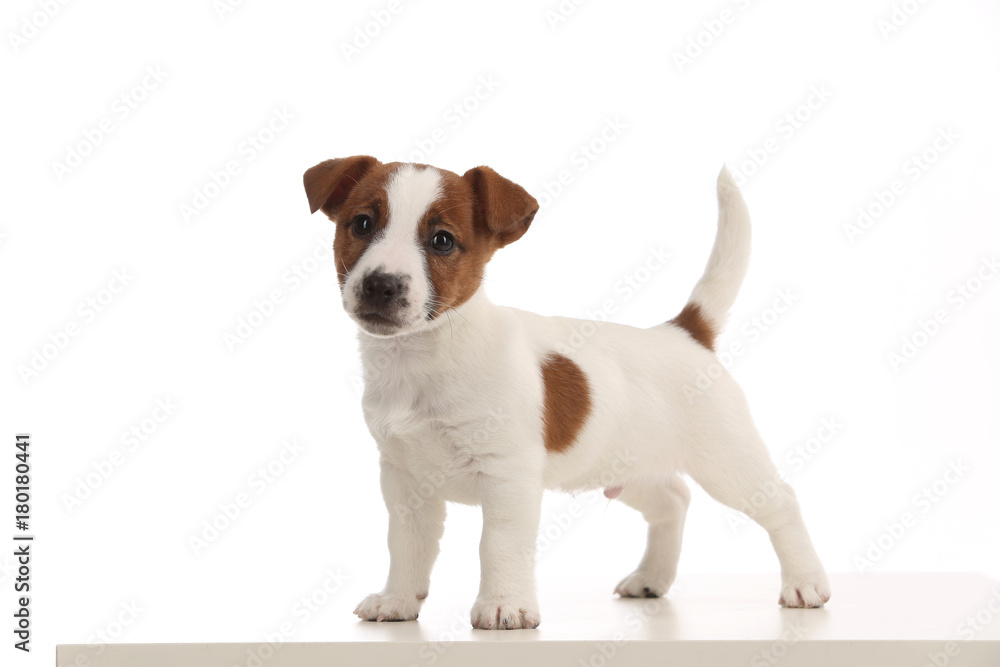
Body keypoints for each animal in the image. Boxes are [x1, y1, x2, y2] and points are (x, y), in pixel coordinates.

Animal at [302, 157, 828, 632]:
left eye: (442, 241)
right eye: (362, 224)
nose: (380, 284)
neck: (422, 357)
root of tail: (685, 332)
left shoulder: (507, 475)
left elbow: (498, 543)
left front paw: (504, 606)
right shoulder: (404, 480)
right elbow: (407, 545)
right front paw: (397, 600)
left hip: (728, 462)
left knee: (782, 503)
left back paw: (806, 583)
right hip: (628, 467)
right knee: (674, 500)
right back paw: (651, 577)